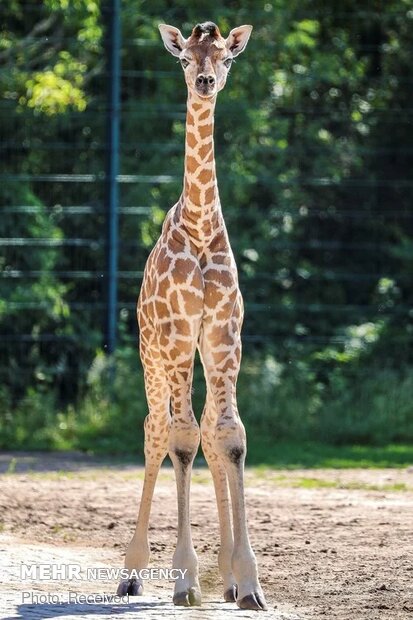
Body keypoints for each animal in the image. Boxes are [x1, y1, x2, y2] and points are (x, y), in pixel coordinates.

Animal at [116, 20, 268, 612]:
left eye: (225, 56)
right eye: (185, 59)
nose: (205, 81)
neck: (201, 228)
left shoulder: (225, 336)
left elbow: (228, 436)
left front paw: (248, 582)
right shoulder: (180, 334)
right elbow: (180, 440)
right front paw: (183, 579)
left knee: (203, 427)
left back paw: (224, 579)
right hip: (151, 354)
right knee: (157, 430)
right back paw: (132, 573)